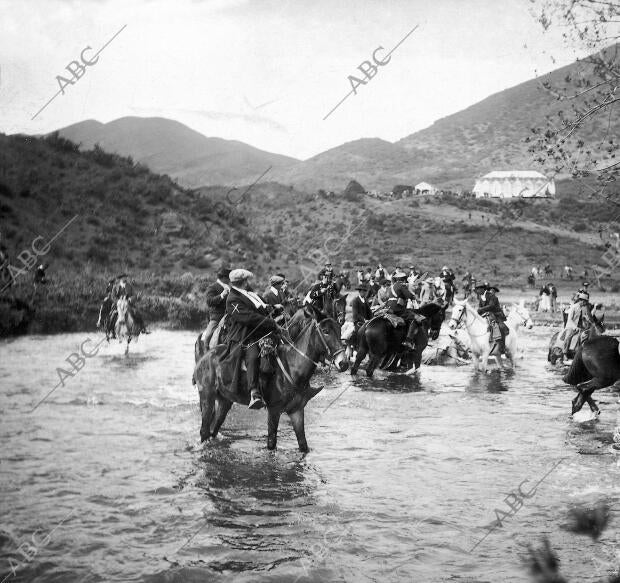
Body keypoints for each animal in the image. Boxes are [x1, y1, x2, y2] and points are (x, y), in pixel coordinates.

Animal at [194, 306, 348, 452]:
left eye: (339, 330)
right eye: (325, 331)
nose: (343, 363)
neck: (292, 366)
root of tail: (205, 357)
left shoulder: (297, 411)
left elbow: (303, 445)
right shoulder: (274, 410)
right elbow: (271, 443)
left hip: (224, 400)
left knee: (213, 430)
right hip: (207, 397)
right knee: (204, 431)